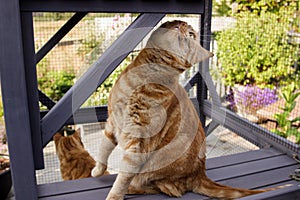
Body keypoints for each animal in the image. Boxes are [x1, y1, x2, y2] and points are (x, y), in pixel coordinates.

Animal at [92, 20, 280, 200]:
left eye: (191, 34)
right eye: (179, 23)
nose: (182, 25)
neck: (144, 77)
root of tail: (200, 175)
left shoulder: (139, 143)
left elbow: (122, 179)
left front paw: (114, 196)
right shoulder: (112, 123)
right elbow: (103, 149)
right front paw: (98, 170)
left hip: (157, 166)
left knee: (164, 188)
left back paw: (132, 188)